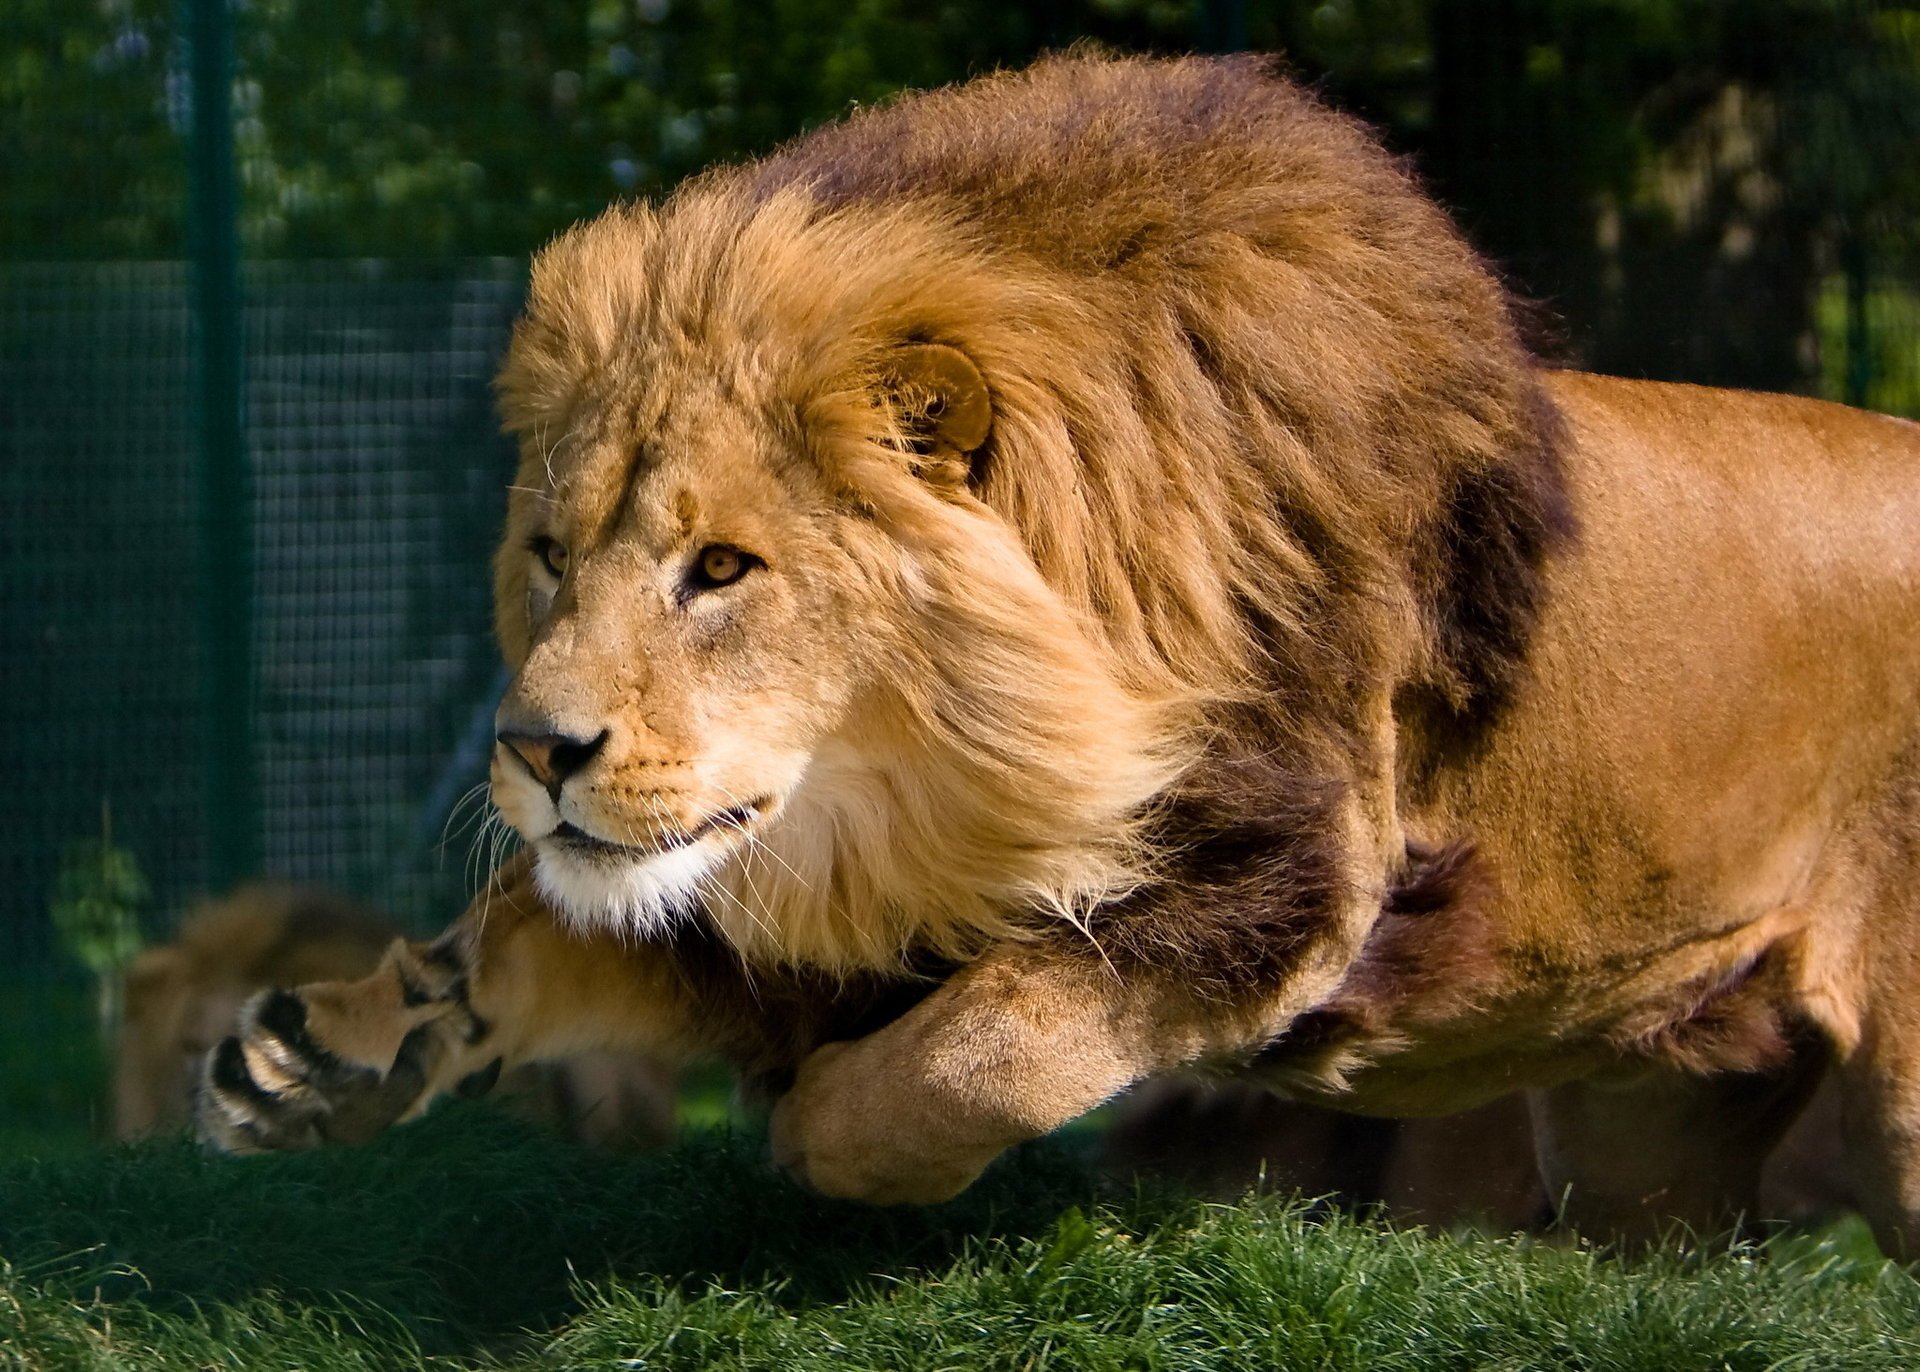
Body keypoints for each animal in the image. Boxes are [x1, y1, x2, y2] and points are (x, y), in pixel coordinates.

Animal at [196, 53, 1920, 1255]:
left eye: (722, 569)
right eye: (553, 556)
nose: (535, 752)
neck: (911, 802)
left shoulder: (1297, 870)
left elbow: (993, 1044)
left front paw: (824, 1123)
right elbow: (528, 936)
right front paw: (324, 1055)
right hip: (1649, 1125)